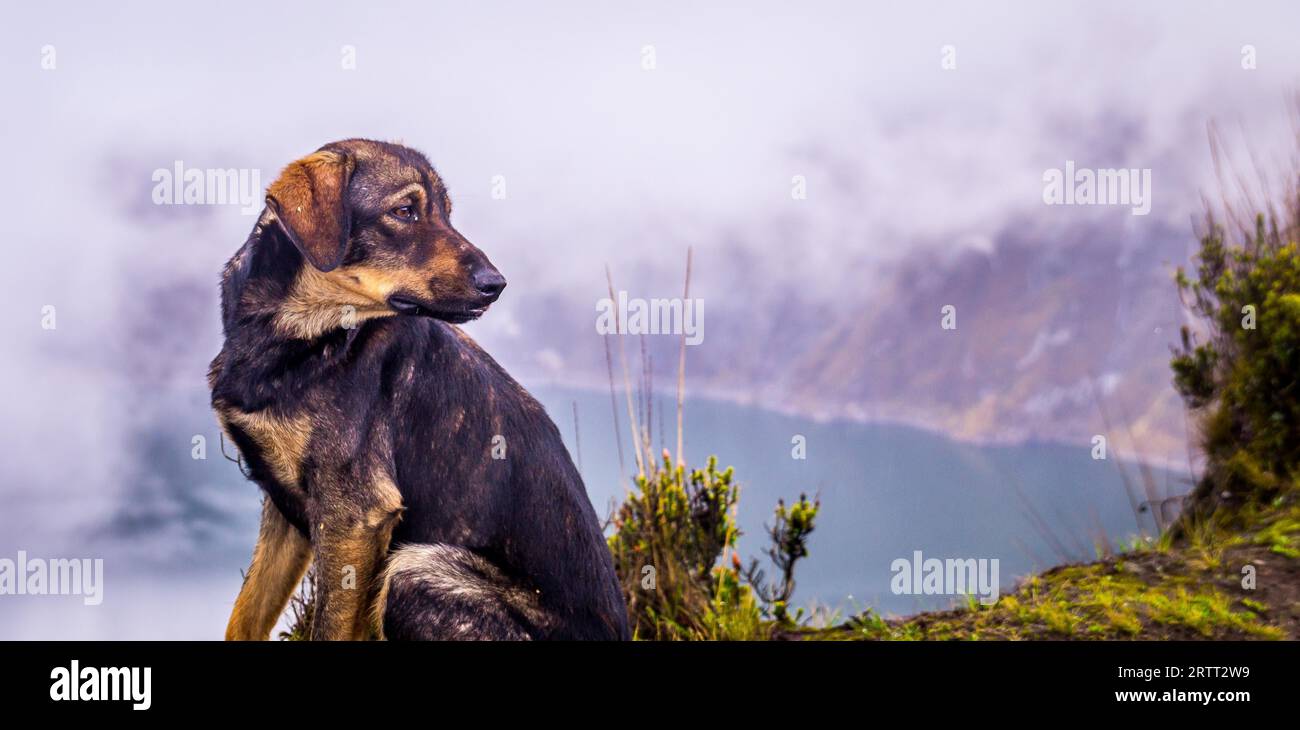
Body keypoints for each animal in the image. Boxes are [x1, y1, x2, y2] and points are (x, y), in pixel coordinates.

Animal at [208, 136, 629, 636]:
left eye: (446, 213)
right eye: (405, 211)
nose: (496, 284)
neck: (300, 337)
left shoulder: (355, 515)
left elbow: (328, 627)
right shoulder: (285, 508)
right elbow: (244, 617)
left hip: (415, 570)